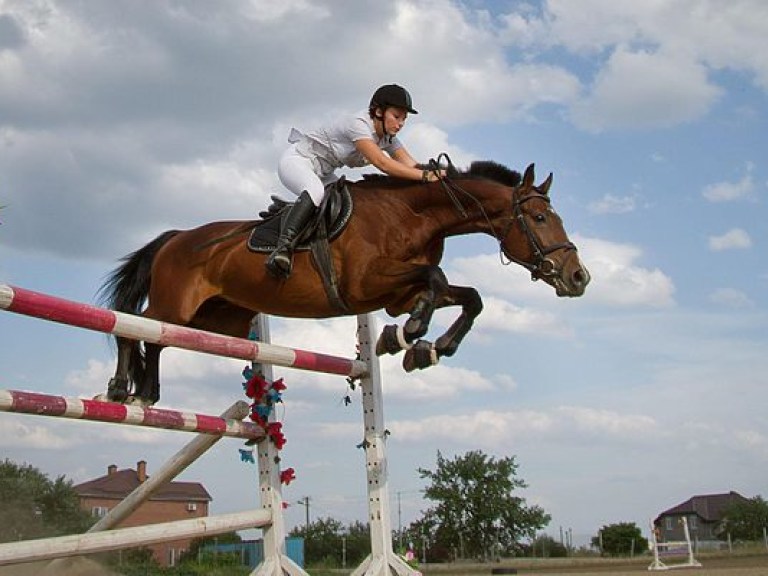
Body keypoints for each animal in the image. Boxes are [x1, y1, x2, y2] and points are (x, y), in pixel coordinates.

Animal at [99, 162, 592, 404]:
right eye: (540, 217)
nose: (579, 277)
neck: (411, 215)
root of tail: (175, 238)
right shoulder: (366, 283)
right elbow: (438, 279)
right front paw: (412, 334)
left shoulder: (396, 293)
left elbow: (468, 297)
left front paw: (426, 347)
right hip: (177, 305)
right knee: (132, 323)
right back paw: (122, 389)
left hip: (216, 321)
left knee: (157, 338)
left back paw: (148, 393)